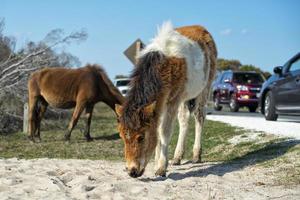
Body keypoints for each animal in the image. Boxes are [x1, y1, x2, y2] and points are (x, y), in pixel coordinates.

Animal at [116, 21, 217, 177]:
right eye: (121, 136)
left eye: (141, 137)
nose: (132, 171)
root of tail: (200, 27)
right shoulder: (162, 102)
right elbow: (158, 130)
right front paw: (158, 163)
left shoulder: (172, 100)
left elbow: (164, 132)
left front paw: (161, 167)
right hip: (184, 97)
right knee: (184, 120)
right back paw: (177, 157)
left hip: (204, 89)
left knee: (199, 116)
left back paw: (196, 156)